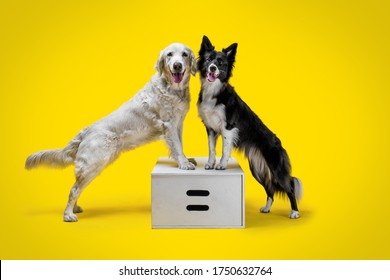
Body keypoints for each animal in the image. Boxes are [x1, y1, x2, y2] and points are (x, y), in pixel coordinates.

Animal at [25, 42, 197, 222]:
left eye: (184, 54)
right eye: (169, 54)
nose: (177, 65)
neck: (172, 89)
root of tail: (86, 130)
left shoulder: (178, 123)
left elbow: (180, 145)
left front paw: (186, 159)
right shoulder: (169, 124)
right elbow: (176, 146)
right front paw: (184, 163)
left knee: (76, 188)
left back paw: (75, 208)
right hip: (93, 164)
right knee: (74, 189)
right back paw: (68, 215)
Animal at [197, 35, 304, 219]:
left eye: (220, 63)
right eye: (208, 60)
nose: (212, 68)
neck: (214, 91)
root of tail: (279, 143)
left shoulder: (228, 128)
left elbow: (224, 149)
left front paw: (221, 166)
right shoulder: (210, 128)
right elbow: (211, 149)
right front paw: (210, 164)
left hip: (275, 166)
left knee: (289, 185)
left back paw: (294, 212)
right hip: (257, 169)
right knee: (270, 189)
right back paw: (267, 208)